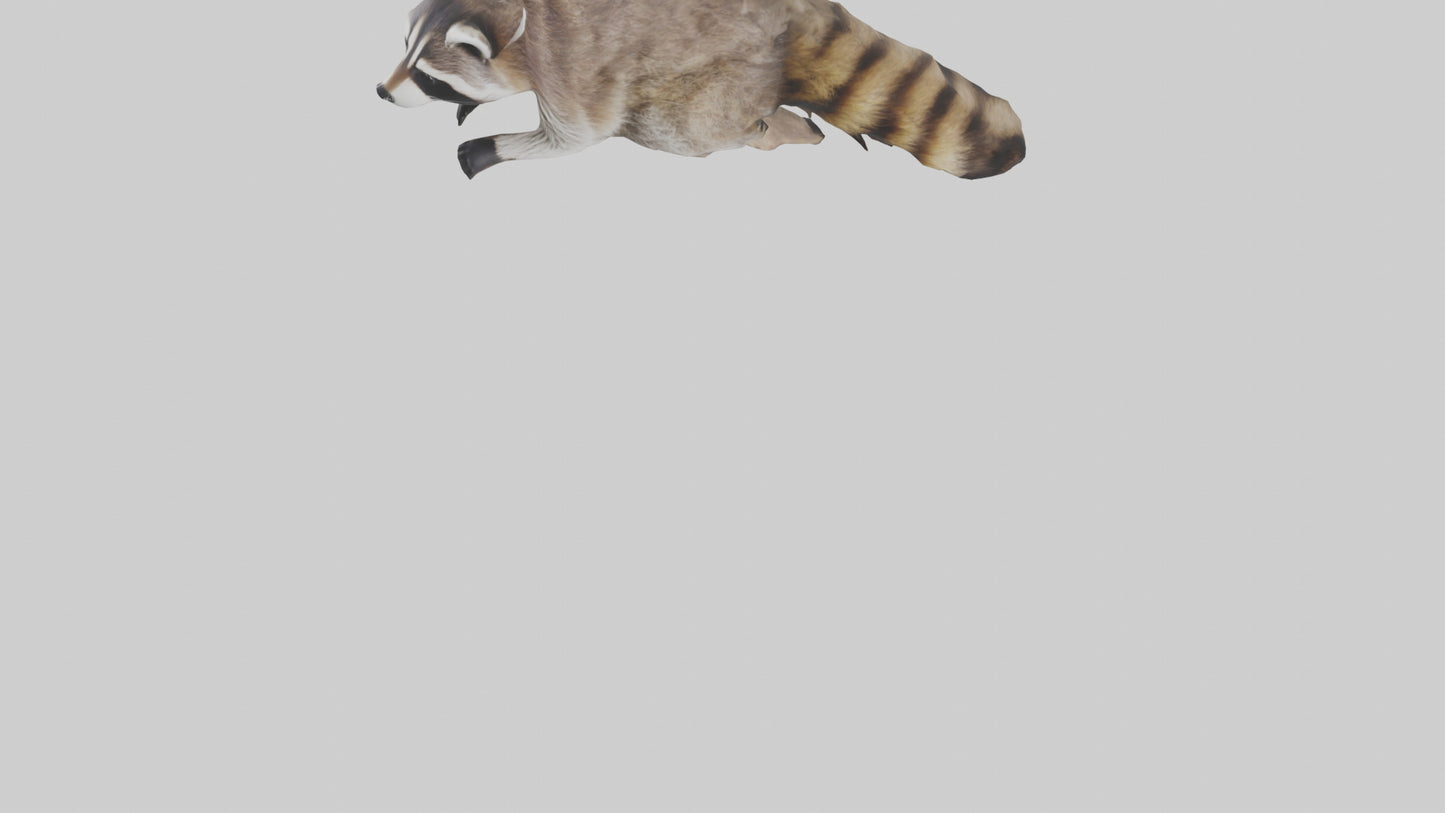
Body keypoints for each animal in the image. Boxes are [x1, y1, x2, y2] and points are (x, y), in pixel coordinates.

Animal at [377, 0, 1024, 180]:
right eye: (404, 53)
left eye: (428, 73)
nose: (382, 93)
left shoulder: (568, 60)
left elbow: (580, 134)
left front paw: (496, 145)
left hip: (727, 65)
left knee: (678, 127)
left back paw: (775, 129)